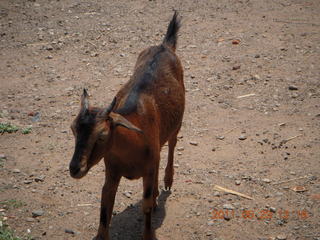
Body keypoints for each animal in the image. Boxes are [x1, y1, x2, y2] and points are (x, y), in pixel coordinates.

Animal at [69, 11, 185, 240]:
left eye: (102, 135)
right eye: (73, 129)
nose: (75, 168)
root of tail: (165, 45)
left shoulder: (147, 169)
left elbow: (145, 205)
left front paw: (149, 235)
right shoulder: (112, 171)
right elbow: (105, 207)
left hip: (178, 122)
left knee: (172, 144)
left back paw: (168, 181)